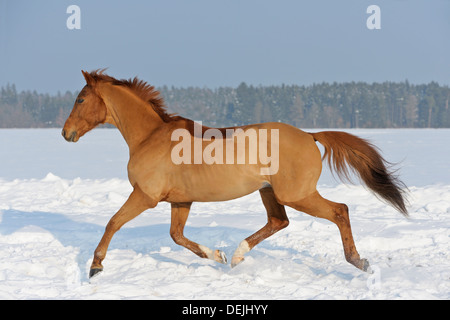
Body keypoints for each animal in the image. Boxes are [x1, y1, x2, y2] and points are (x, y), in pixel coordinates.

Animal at [61, 69, 410, 278]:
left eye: (80, 98)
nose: (66, 133)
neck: (149, 137)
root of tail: (310, 135)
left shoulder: (145, 196)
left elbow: (113, 222)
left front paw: (95, 266)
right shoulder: (180, 201)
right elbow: (176, 236)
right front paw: (216, 255)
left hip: (296, 194)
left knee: (339, 211)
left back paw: (359, 261)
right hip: (269, 191)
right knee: (278, 221)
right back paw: (238, 255)